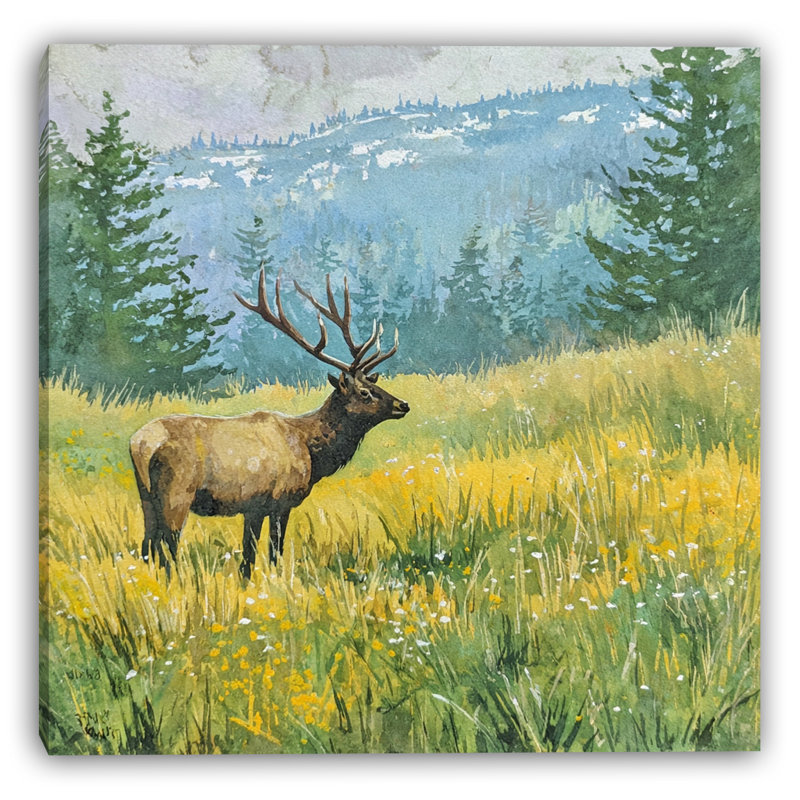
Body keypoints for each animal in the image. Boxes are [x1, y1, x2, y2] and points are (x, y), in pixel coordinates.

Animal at [129, 268, 409, 580]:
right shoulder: (278, 500)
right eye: (364, 392)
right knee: (167, 546)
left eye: (375, 385)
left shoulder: (254, 507)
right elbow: (273, 551)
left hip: (146, 496)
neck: (312, 452)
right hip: (176, 493)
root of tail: (140, 444)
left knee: (147, 545)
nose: (403, 405)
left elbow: (248, 557)